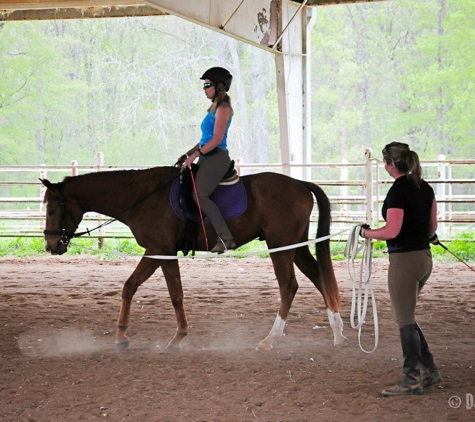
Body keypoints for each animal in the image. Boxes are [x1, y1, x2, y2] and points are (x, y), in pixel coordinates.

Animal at [41, 166, 346, 352]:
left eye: (53, 209)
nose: (51, 245)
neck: (142, 197)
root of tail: (300, 184)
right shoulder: (159, 252)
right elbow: (137, 287)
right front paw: (123, 337)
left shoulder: (159, 250)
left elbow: (166, 292)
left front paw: (173, 338)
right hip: (295, 246)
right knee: (319, 278)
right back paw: (338, 333)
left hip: (281, 247)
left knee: (289, 287)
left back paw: (270, 339)